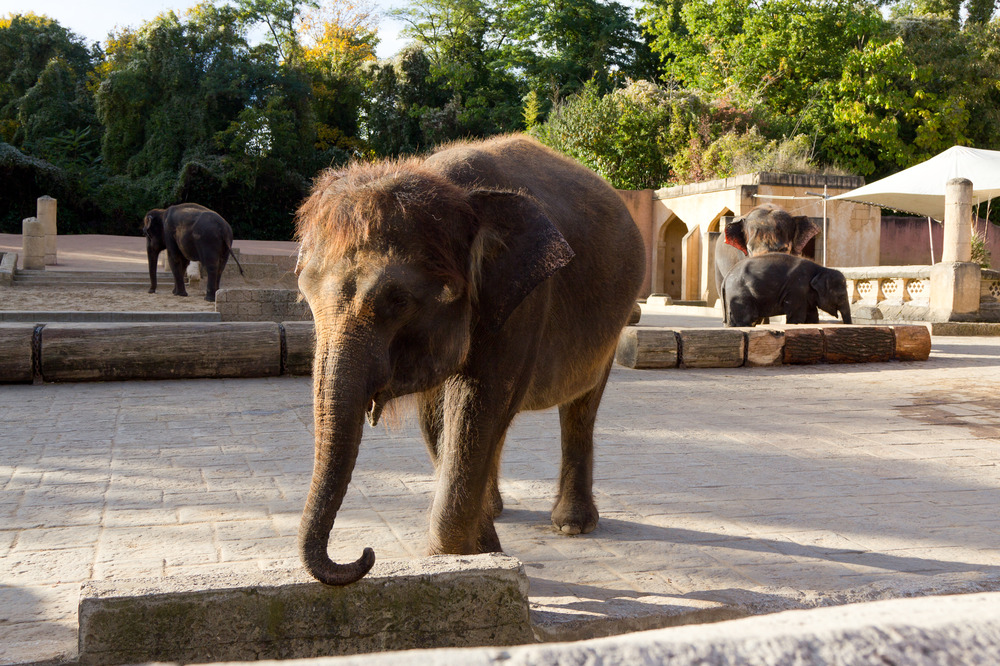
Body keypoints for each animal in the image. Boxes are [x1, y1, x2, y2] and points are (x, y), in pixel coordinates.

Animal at [292, 132, 644, 584]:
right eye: (304, 295)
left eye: (398, 300)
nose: (365, 553)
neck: (449, 188)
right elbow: (441, 420)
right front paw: (483, 550)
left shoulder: (525, 303)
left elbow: (477, 405)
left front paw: (459, 558)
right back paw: (495, 508)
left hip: (616, 320)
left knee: (581, 405)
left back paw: (572, 525)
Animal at [724, 252, 856, 326]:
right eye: (841, 296)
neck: (821, 269)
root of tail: (726, 276)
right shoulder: (797, 290)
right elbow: (797, 318)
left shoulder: (806, 295)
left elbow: (812, 317)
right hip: (740, 295)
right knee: (746, 318)